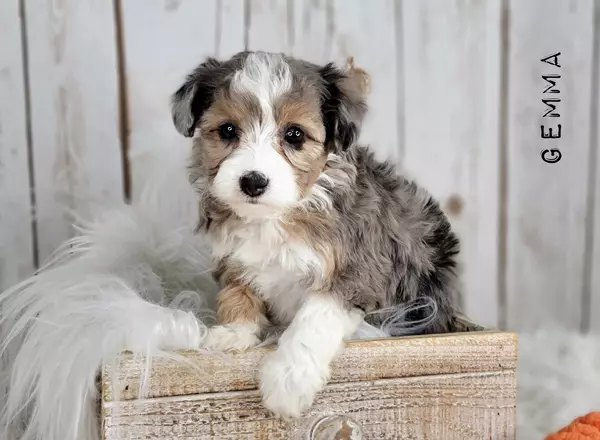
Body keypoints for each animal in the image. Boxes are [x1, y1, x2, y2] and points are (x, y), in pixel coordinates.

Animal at [171, 51, 462, 420]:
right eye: (227, 130)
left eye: (295, 135)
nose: (253, 181)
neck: (277, 217)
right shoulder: (233, 259)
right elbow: (237, 292)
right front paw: (234, 331)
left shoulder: (359, 269)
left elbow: (314, 318)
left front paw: (289, 377)